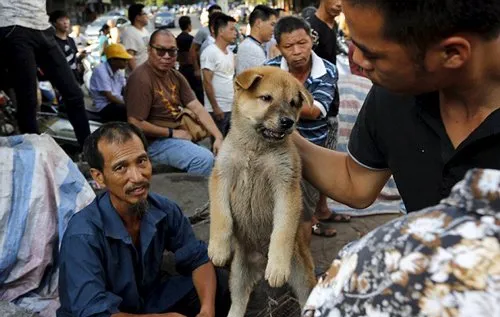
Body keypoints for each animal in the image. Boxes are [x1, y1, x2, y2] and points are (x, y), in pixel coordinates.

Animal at [207, 65, 316, 314]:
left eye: (293, 103)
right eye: (266, 98)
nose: (288, 122)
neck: (256, 150)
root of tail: (259, 263)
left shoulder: (286, 185)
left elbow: (282, 231)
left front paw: (277, 266)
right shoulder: (221, 176)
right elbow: (221, 217)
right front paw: (218, 248)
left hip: (302, 275)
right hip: (238, 276)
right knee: (238, 301)